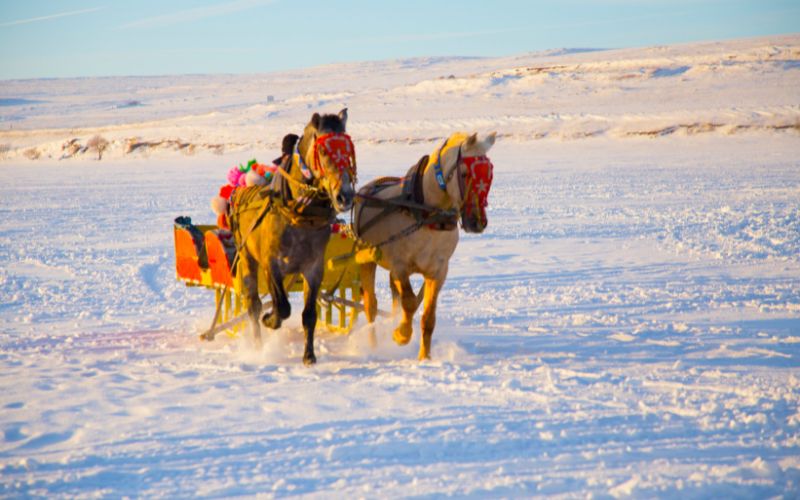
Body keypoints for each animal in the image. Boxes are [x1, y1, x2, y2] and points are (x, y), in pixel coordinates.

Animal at [231, 109, 356, 366]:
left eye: (349, 151)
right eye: (323, 151)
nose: (345, 196)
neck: (299, 214)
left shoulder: (313, 268)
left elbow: (309, 314)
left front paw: (309, 356)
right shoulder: (271, 264)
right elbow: (282, 306)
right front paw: (270, 320)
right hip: (247, 258)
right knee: (253, 305)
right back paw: (257, 346)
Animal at [354, 131, 496, 360]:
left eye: (490, 173)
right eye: (465, 173)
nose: (477, 222)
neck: (427, 213)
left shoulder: (438, 271)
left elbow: (428, 317)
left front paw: (424, 357)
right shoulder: (400, 265)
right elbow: (409, 302)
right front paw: (401, 334)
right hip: (366, 260)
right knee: (370, 306)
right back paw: (374, 346)